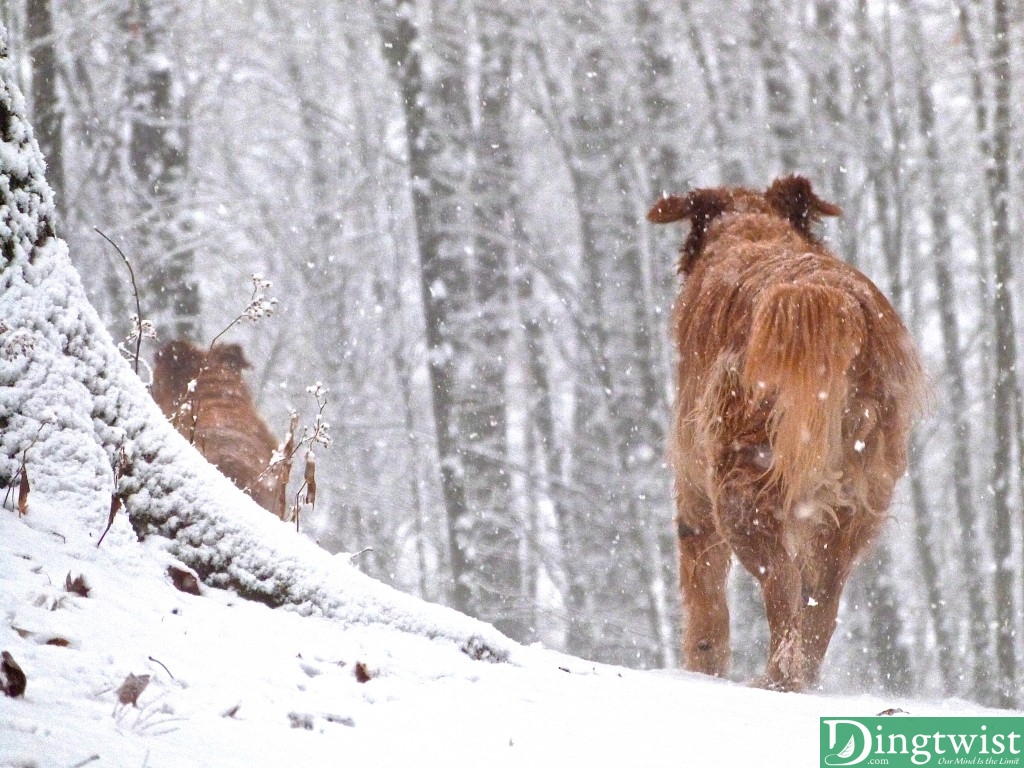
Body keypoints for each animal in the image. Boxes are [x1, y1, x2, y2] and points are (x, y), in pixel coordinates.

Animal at [647, 177, 929, 696]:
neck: (751, 230)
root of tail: (828, 299)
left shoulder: (693, 487)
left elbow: (704, 599)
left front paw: (702, 668)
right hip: (855, 498)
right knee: (822, 599)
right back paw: (800, 679)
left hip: (741, 484)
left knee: (782, 584)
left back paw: (775, 679)